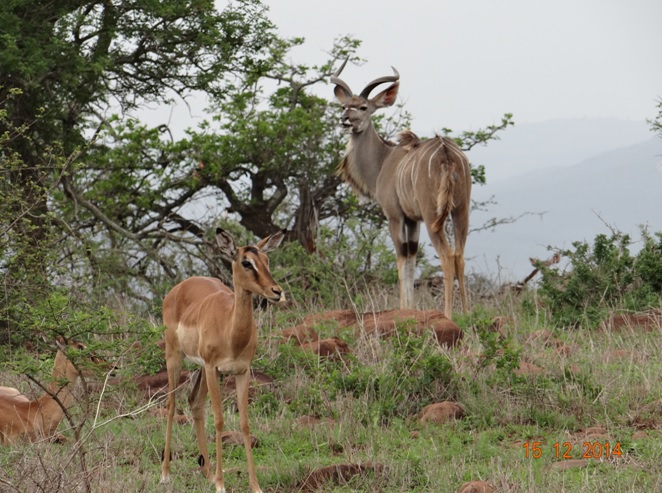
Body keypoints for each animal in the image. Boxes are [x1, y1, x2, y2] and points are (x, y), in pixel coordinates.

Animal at [162, 227, 286, 492]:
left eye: (267, 259)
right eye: (246, 262)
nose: (277, 292)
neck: (231, 331)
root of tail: (179, 287)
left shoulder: (241, 371)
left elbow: (245, 423)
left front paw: (255, 485)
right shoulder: (212, 367)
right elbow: (219, 420)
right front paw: (221, 484)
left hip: (204, 370)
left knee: (195, 403)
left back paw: (207, 472)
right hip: (175, 357)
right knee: (171, 405)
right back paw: (165, 474)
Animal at [332, 60, 472, 316]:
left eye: (364, 107)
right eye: (345, 105)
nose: (345, 120)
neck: (383, 160)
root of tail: (446, 153)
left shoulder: (395, 216)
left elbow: (401, 260)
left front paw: (404, 308)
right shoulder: (412, 220)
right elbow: (411, 258)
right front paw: (411, 308)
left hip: (433, 216)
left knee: (447, 256)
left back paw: (448, 313)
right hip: (461, 211)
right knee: (459, 256)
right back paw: (467, 313)